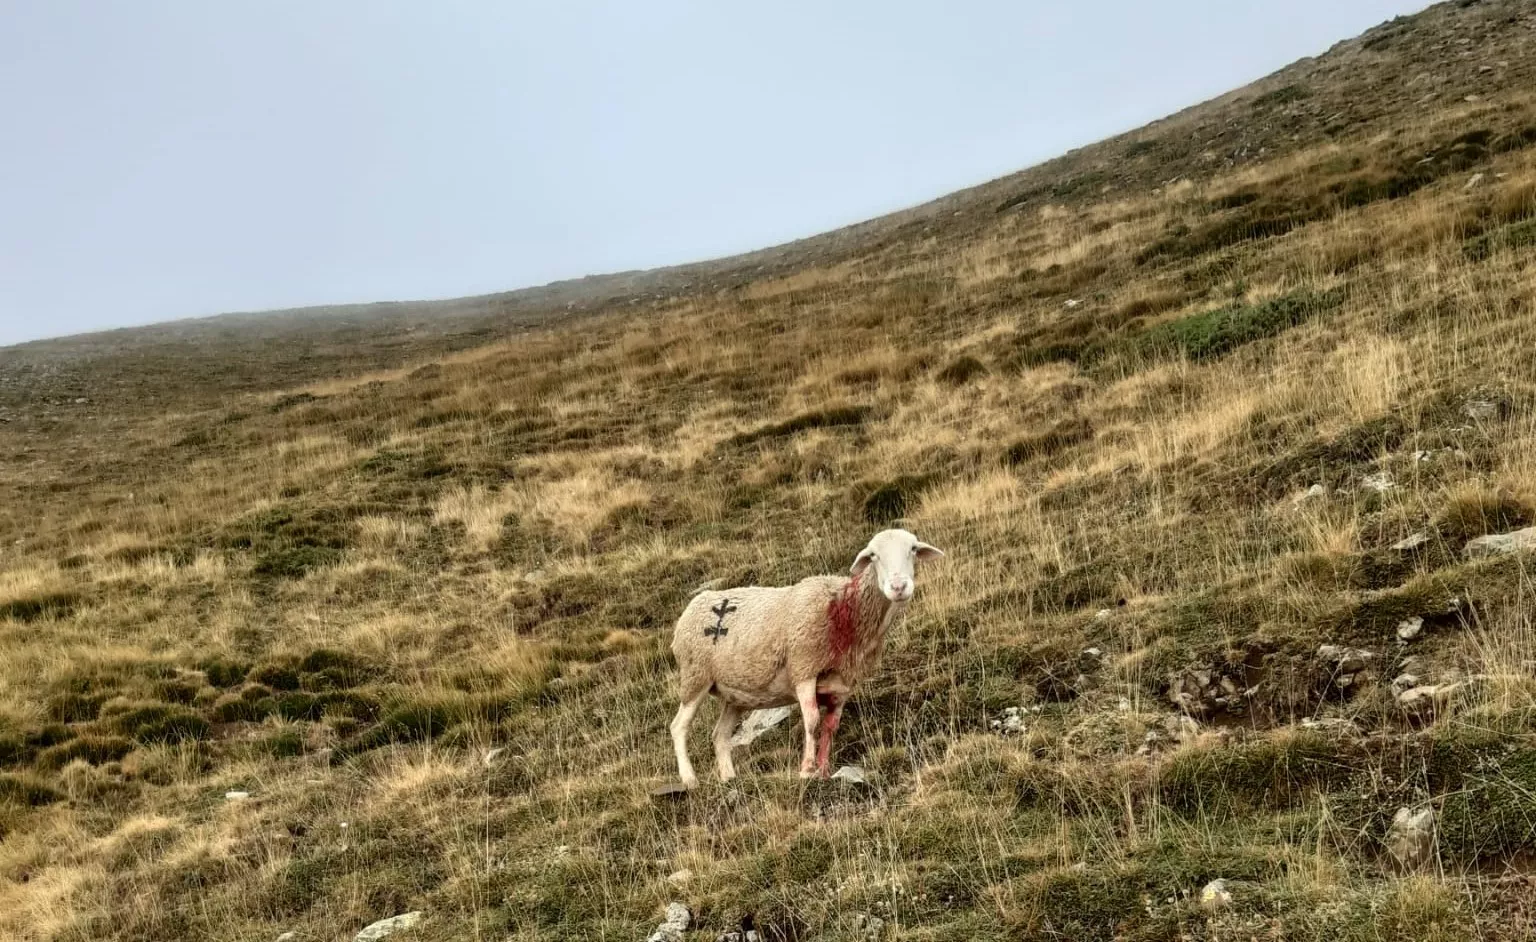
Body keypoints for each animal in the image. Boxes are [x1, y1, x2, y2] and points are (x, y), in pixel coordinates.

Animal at [668, 528, 945, 788]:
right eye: (873, 555)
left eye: (913, 549)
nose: (898, 587)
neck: (843, 609)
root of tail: (692, 605)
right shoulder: (804, 669)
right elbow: (812, 722)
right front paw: (806, 770)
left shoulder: (842, 685)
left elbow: (830, 727)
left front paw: (823, 772)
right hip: (696, 676)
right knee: (678, 726)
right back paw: (689, 779)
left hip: (735, 696)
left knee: (720, 735)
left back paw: (729, 778)